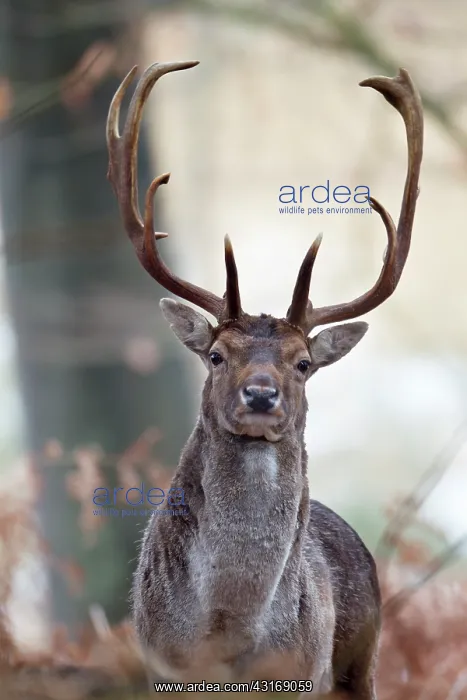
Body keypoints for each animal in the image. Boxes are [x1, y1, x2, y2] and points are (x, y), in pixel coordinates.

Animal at [106, 61, 423, 698]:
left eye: (303, 363)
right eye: (216, 355)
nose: (260, 394)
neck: (228, 634)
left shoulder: (305, 673)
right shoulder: (161, 668)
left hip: (362, 662)